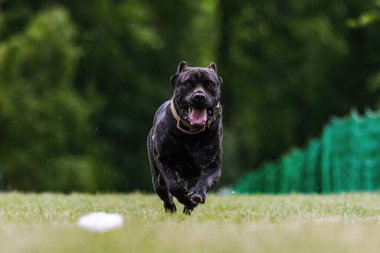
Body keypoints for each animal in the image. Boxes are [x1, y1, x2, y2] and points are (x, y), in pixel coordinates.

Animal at [146, 60, 223, 213]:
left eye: (210, 84)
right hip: (157, 179)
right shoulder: (163, 159)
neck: (190, 134)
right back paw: (171, 207)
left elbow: (204, 181)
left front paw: (197, 195)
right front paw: (183, 196)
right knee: (165, 190)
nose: (199, 96)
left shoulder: (212, 166)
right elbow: (173, 185)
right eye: (188, 83)